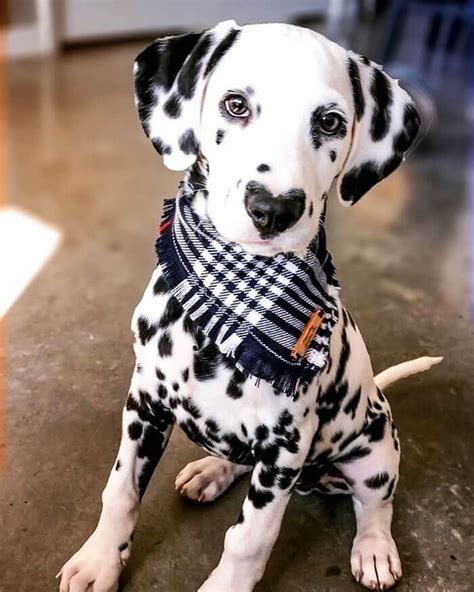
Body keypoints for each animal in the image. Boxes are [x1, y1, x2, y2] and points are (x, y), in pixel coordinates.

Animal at [58, 19, 440, 592]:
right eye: (235, 105)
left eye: (330, 122)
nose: (274, 209)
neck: (228, 308)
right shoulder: (143, 403)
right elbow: (120, 489)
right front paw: (99, 559)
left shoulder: (284, 448)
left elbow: (248, 538)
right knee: (237, 460)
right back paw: (212, 471)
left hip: (375, 450)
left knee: (376, 503)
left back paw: (374, 548)